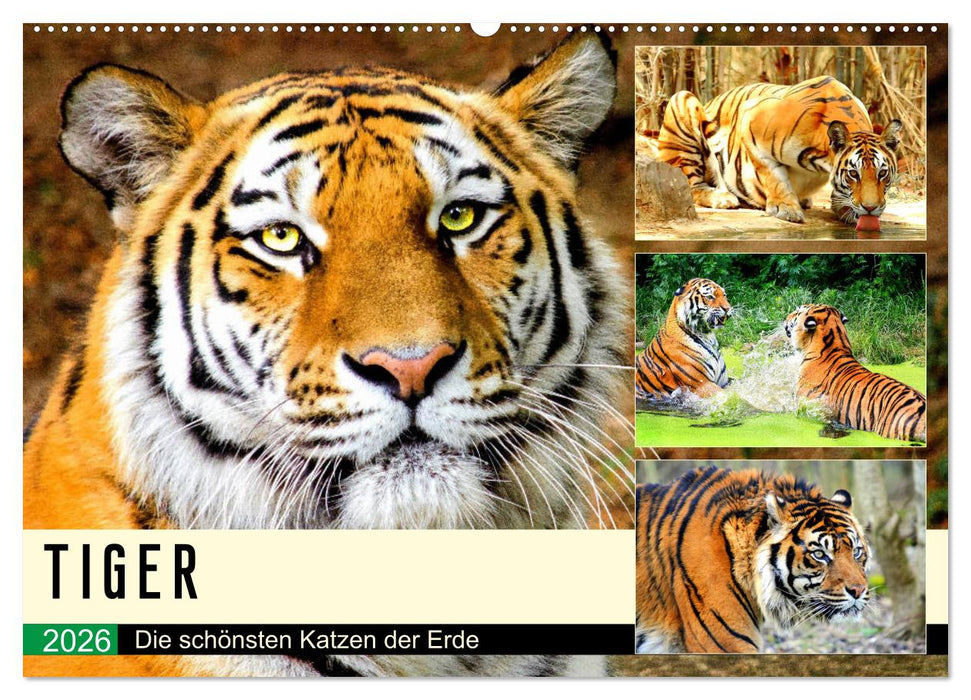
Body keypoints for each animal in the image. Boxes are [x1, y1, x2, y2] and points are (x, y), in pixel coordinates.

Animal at [657, 76, 902, 224]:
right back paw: (722, 197)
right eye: (853, 174)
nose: (870, 208)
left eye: (882, 173)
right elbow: (773, 175)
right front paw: (787, 209)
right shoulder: (750, 120)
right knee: (691, 187)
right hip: (682, 102)